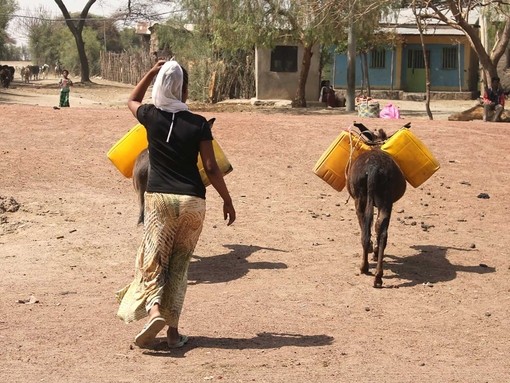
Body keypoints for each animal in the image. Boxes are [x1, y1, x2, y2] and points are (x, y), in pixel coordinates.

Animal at [346, 129, 406, 288]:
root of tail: (373, 168)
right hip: (385, 201)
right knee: (382, 231)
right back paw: (378, 276)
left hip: (362, 199)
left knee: (366, 232)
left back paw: (365, 267)